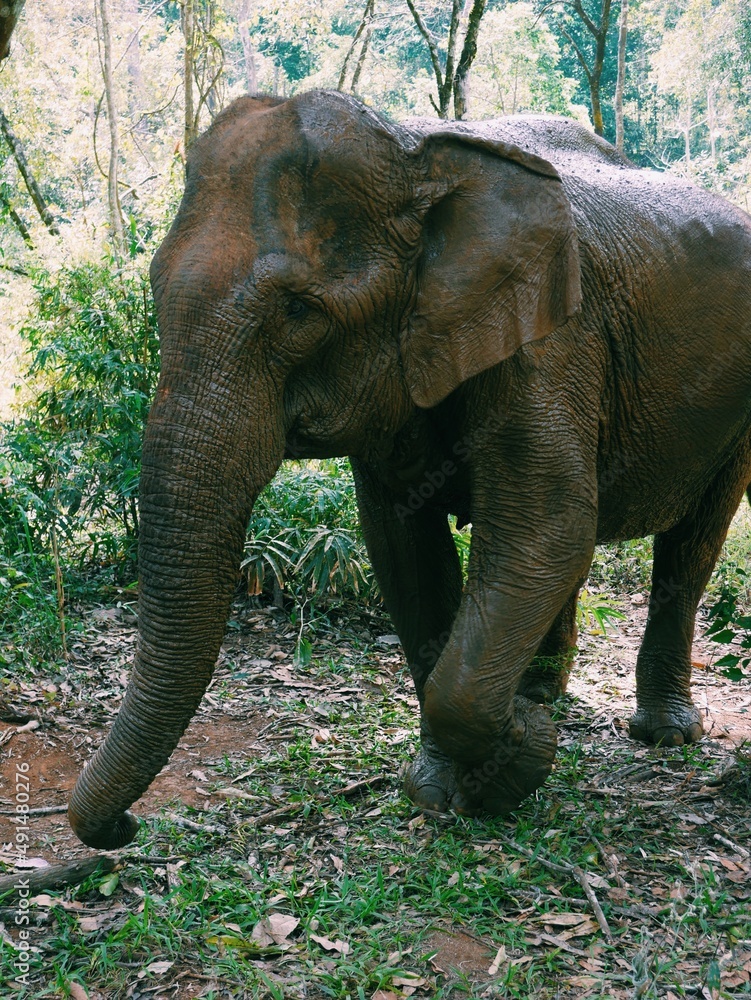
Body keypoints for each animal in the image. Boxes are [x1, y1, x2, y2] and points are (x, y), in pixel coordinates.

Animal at [68, 90, 751, 850]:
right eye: (154, 289)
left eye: (299, 310)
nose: (124, 827)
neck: (416, 151)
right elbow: (406, 546)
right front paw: (451, 781)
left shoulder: (554, 340)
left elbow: (545, 524)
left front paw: (511, 757)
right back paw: (542, 693)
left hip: (735, 407)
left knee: (692, 539)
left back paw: (660, 734)